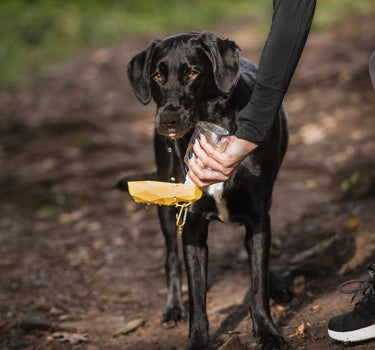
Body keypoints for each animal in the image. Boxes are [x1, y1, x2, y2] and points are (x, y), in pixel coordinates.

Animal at [119, 31, 290, 348]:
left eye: (192, 73)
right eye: (157, 76)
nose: (167, 120)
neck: (211, 132)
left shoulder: (258, 216)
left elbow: (258, 283)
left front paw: (267, 331)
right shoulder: (192, 226)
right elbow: (197, 298)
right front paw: (197, 339)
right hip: (166, 207)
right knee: (170, 260)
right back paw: (172, 308)